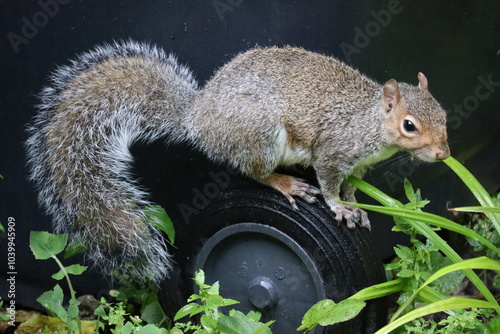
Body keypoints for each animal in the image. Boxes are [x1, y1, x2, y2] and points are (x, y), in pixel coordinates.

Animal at [25, 41, 452, 282]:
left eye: (444, 114)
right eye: (409, 125)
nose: (444, 153)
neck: (370, 121)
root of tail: (198, 118)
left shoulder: (360, 165)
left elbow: (351, 184)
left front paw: (356, 205)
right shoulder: (334, 151)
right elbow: (330, 181)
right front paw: (339, 207)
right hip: (261, 133)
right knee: (253, 171)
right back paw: (285, 182)